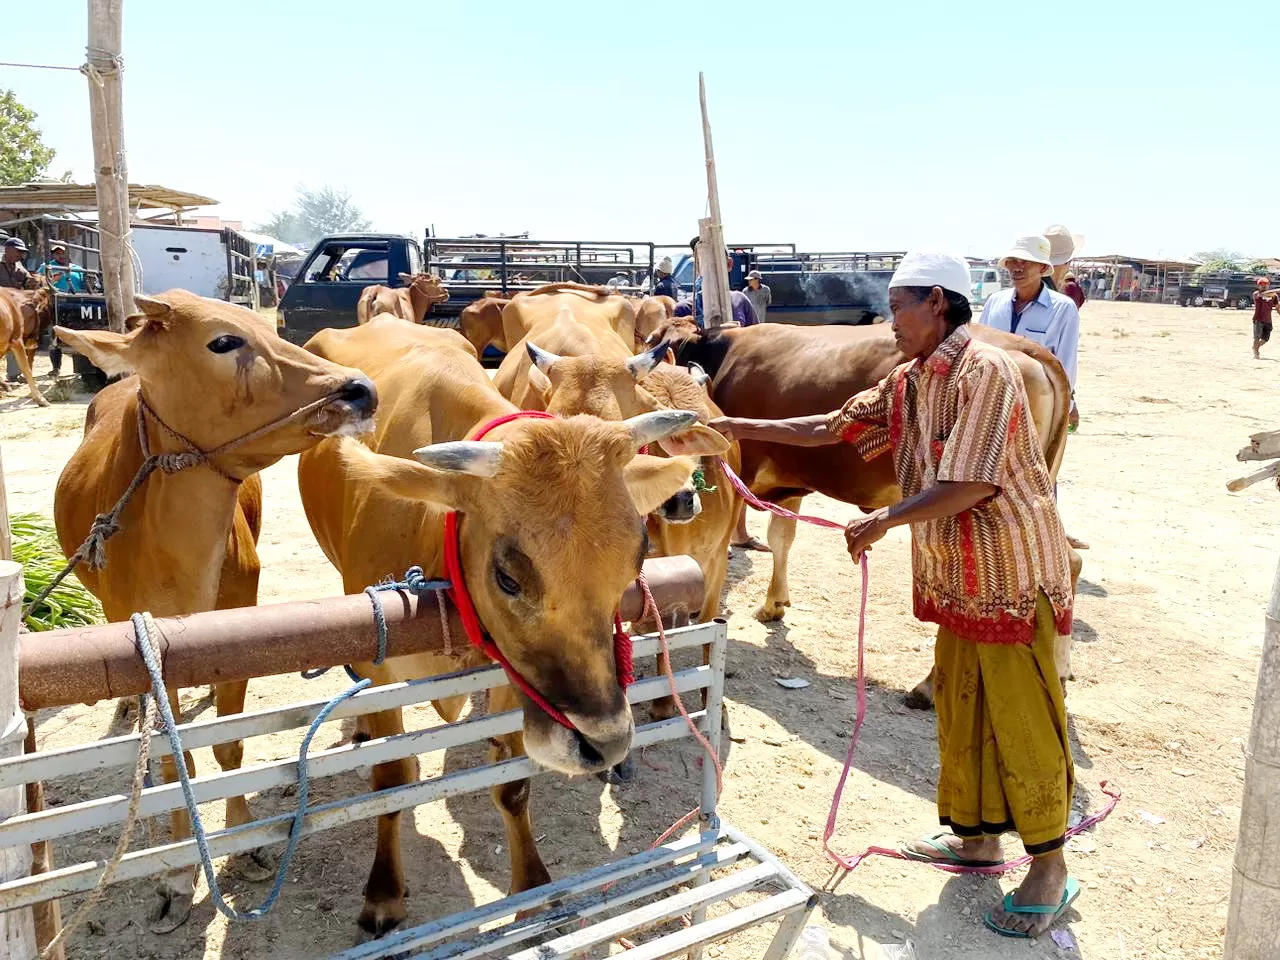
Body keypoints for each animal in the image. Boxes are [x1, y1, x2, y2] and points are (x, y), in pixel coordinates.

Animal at [55, 291, 373, 931]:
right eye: (223, 341)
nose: (359, 390)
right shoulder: (147, 643)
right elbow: (174, 762)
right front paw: (178, 876)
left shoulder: (238, 626)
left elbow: (230, 744)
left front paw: (245, 845)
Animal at [295, 320, 706, 936]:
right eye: (508, 577)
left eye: (635, 559)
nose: (605, 743)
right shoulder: (385, 666)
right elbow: (391, 780)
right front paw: (384, 895)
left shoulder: (514, 676)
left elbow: (512, 785)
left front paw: (531, 887)